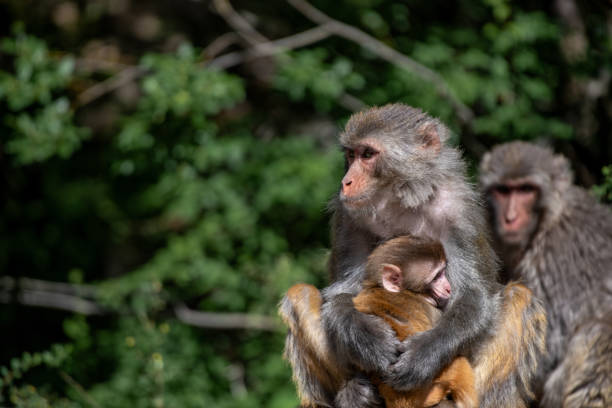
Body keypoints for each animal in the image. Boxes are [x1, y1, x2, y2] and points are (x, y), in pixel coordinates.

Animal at [480, 142, 608, 406]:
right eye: (503, 191)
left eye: (526, 190)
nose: (510, 218)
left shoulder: (554, 257)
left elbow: (549, 348)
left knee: (598, 331)